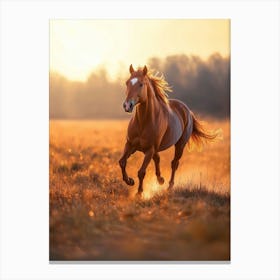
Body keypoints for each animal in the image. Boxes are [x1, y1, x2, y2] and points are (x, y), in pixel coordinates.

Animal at [118, 64, 221, 196]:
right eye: (127, 83)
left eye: (141, 84)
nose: (127, 105)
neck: (143, 122)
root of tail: (187, 110)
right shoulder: (130, 145)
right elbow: (122, 162)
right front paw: (130, 181)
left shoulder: (149, 150)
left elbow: (141, 172)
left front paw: (139, 192)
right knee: (158, 159)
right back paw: (161, 180)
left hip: (180, 145)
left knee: (174, 163)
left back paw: (169, 186)